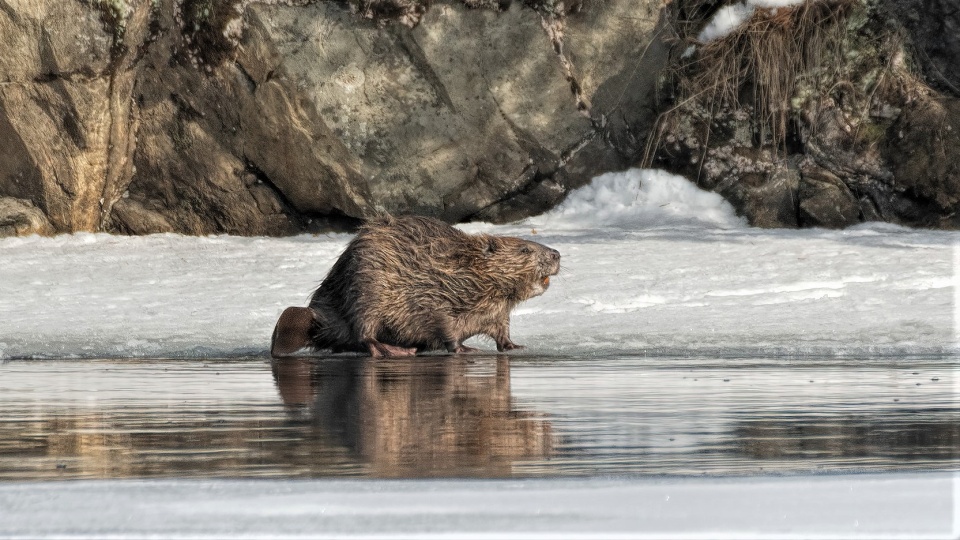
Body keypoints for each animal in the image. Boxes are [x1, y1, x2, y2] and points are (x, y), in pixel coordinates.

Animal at [270, 215, 560, 358]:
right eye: (525, 249)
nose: (556, 254)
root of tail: (317, 320)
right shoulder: (434, 295)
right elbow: (444, 326)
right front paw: (465, 349)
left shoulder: (498, 312)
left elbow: (502, 331)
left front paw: (515, 346)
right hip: (366, 288)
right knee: (364, 334)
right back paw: (396, 350)